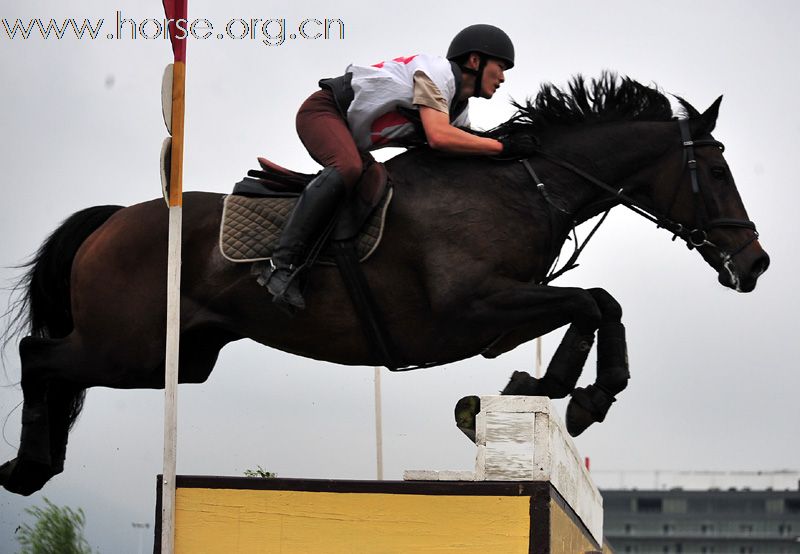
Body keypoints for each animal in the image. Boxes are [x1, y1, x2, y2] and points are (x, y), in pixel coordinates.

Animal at [0, 73, 768, 492]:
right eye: (717, 171)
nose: (756, 264)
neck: (527, 185)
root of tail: (112, 219)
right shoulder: (472, 310)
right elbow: (592, 301)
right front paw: (573, 395)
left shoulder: (498, 318)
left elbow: (600, 303)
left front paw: (546, 391)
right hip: (127, 348)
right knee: (40, 357)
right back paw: (28, 465)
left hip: (179, 359)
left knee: (55, 365)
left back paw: (35, 464)